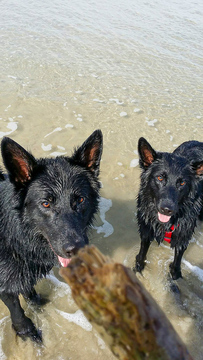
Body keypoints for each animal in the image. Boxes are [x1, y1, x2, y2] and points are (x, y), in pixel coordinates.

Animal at [0, 129, 102, 340]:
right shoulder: (5, 285)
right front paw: (26, 331)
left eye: (80, 200)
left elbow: (28, 290)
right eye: (46, 203)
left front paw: (36, 302)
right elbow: (17, 312)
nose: (75, 249)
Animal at [135, 136, 203, 280]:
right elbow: (142, 252)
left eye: (182, 183)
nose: (167, 209)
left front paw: (175, 274)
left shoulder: (184, 233)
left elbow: (178, 259)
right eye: (160, 177)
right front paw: (138, 266)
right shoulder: (146, 228)